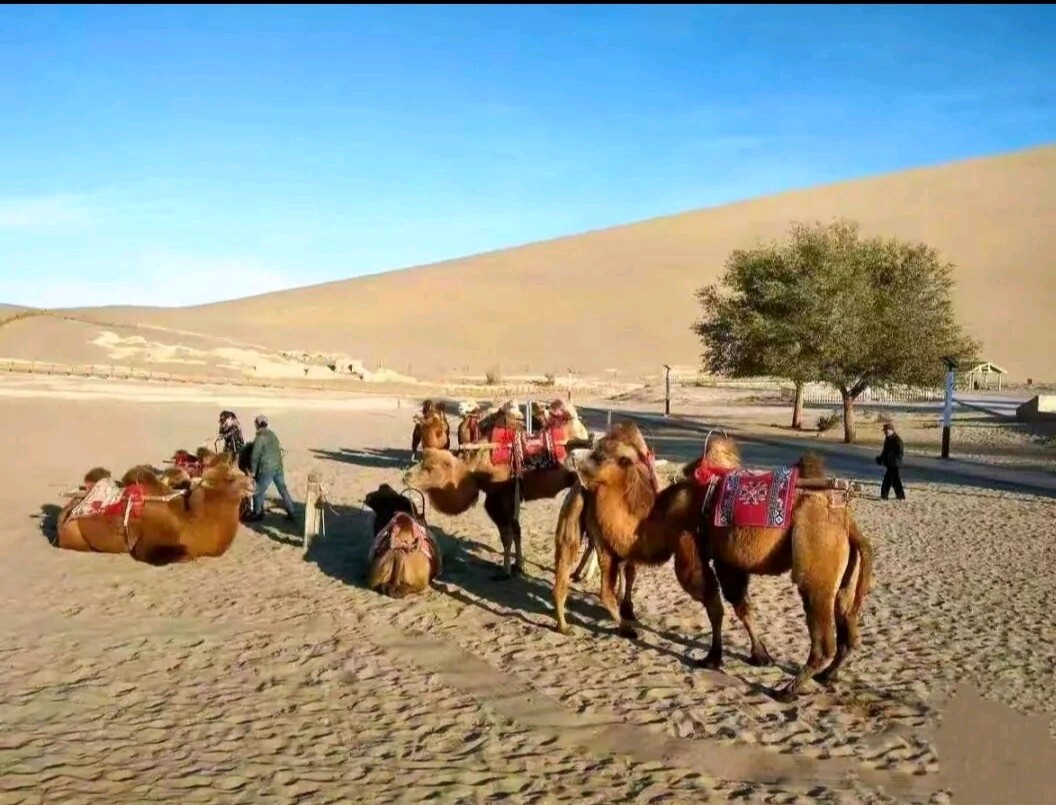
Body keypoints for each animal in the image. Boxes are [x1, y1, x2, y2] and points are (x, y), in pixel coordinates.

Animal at [56, 453, 255, 565]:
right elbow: (186, 555)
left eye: (240, 471)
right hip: (73, 536)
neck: (190, 522)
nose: (252, 483)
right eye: (229, 478)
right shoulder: (148, 544)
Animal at [555, 427, 874, 702]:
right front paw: (760, 655)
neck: (656, 519)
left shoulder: (690, 550)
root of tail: (849, 524)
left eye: (598, 455)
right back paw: (827, 676)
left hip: (816, 558)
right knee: (847, 626)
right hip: (843, 572)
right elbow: (740, 607)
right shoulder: (725, 560)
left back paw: (787, 690)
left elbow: (713, 605)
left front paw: (712, 657)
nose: (569, 454)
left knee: (823, 638)